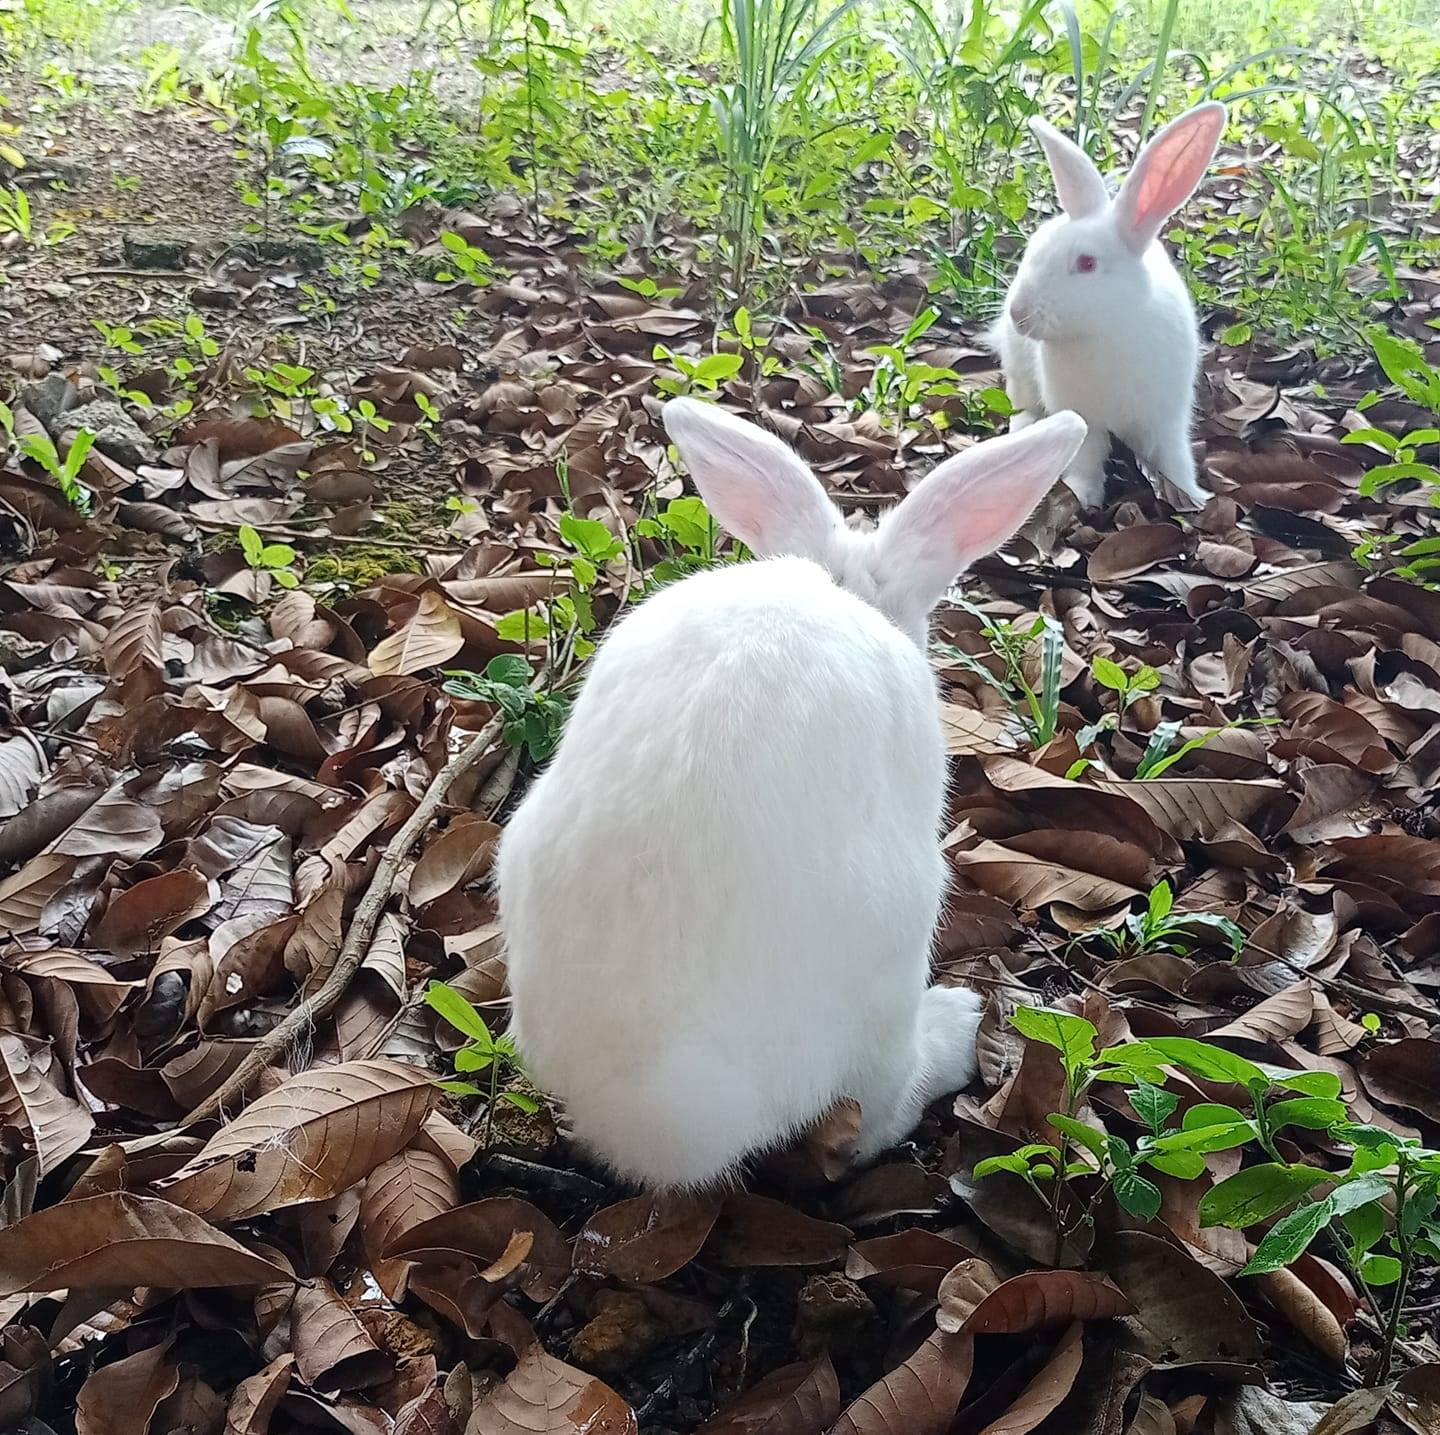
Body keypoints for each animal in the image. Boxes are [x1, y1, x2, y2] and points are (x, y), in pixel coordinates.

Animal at [990, 101, 1227, 509]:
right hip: (1020, 372)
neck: (1107, 330)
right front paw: (1083, 496)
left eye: (1087, 264)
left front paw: (1193, 498)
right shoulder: (1084, 417)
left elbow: (1174, 459)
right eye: (1033, 251)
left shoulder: (1165, 420)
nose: (1018, 314)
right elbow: (1086, 458)